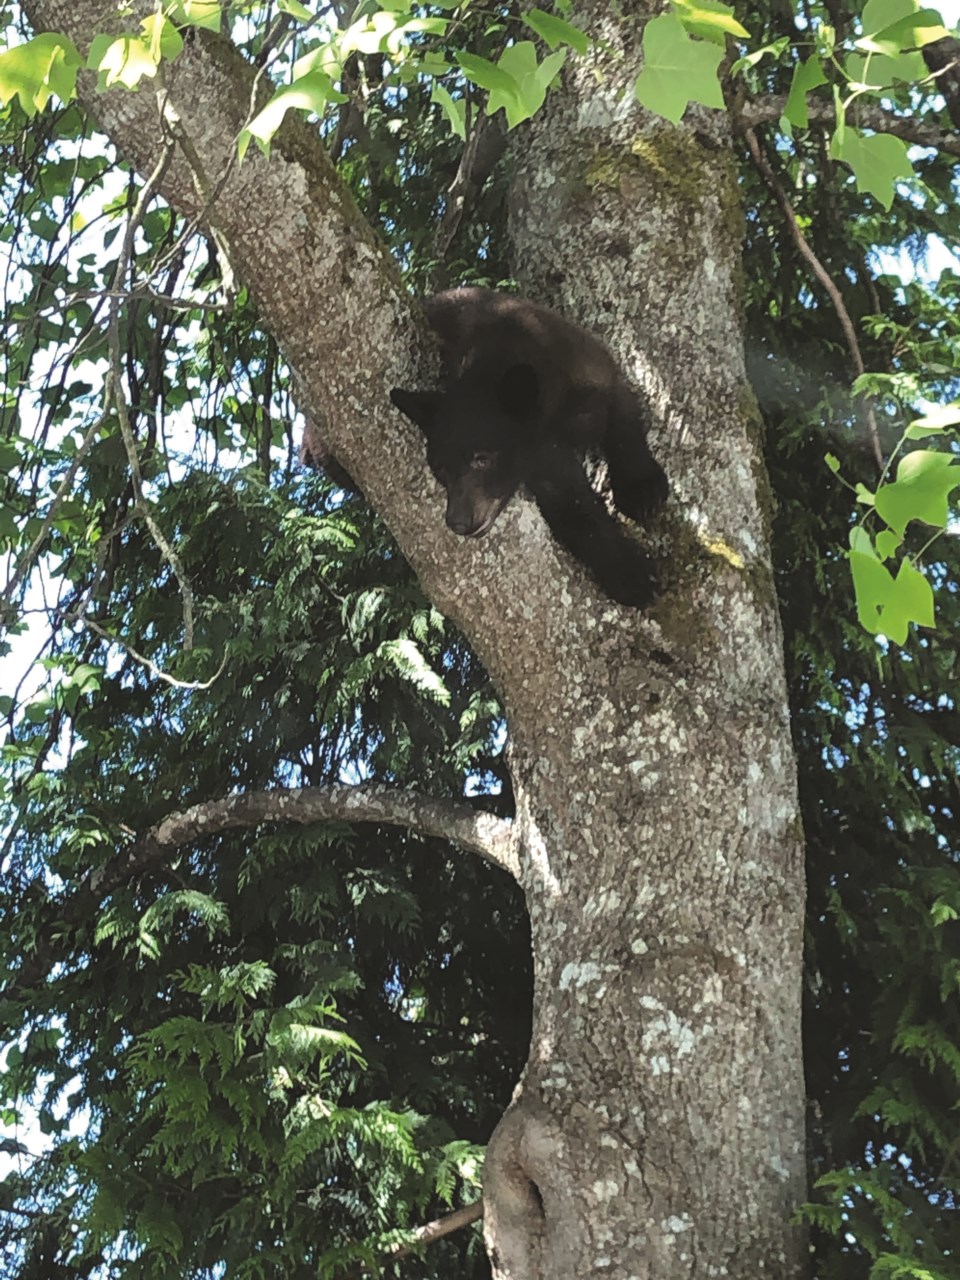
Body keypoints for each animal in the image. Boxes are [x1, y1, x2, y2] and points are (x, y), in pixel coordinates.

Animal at [391, 290, 670, 609]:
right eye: (439, 468)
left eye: (482, 459)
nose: (458, 521)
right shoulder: (541, 459)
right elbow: (573, 510)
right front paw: (630, 575)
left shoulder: (586, 366)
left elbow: (621, 419)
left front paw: (643, 491)